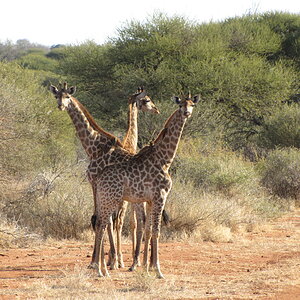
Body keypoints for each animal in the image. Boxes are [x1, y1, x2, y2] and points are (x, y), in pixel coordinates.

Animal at [49, 84, 159, 270]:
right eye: (57, 96)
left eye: (68, 97)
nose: (61, 106)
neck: (94, 147)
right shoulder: (98, 186)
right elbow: (102, 219)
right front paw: (107, 260)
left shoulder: (95, 183)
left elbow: (102, 219)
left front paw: (103, 261)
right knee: (145, 221)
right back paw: (145, 262)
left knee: (141, 220)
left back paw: (139, 262)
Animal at [91, 92, 199, 278]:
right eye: (180, 105)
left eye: (192, 104)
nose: (186, 113)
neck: (165, 160)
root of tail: (98, 178)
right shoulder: (160, 196)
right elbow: (156, 231)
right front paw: (158, 270)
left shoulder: (149, 200)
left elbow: (148, 230)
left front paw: (147, 267)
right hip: (110, 200)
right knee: (102, 225)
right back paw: (99, 269)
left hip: (103, 199)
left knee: (100, 225)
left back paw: (102, 269)